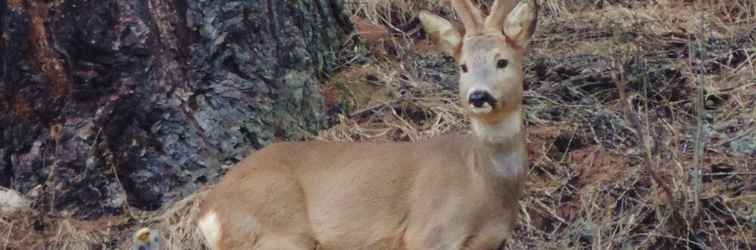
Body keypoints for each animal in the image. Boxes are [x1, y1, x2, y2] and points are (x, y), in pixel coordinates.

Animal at [195, 0, 536, 248]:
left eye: (502, 61)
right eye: (463, 66)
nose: (479, 96)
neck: (482, 184)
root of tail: (208, 208)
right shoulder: (428, 232)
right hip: (278, 229)